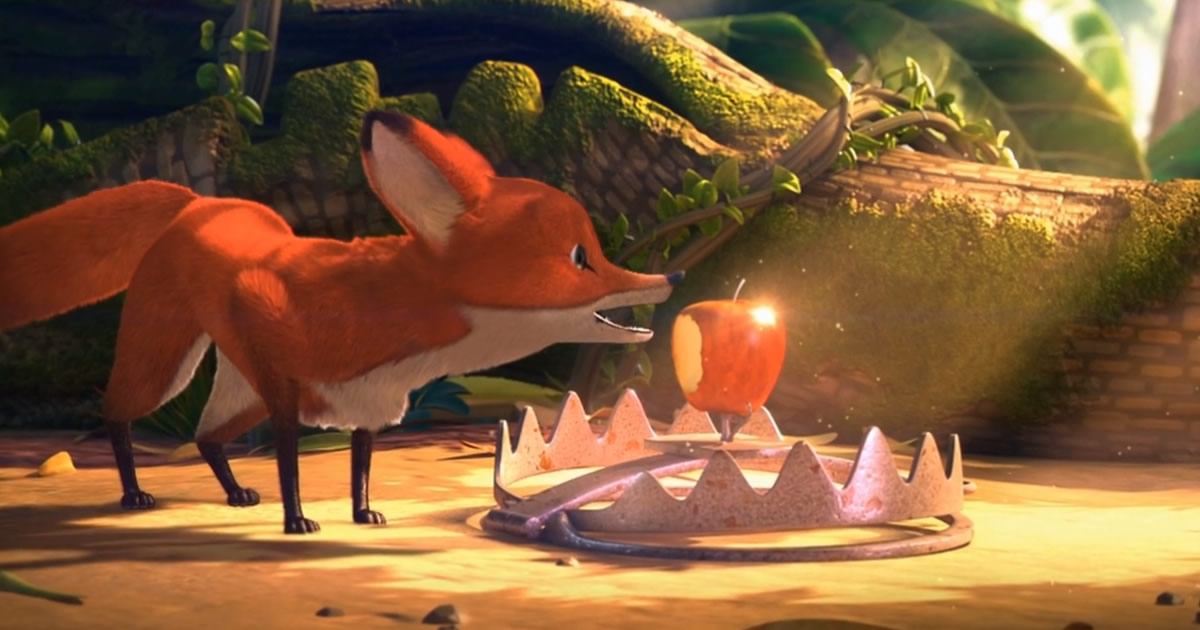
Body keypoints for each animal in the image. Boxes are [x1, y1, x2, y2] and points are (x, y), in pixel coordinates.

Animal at [0, 111, 682, 534]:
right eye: (581, 258)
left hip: (233, 387)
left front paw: (361, 515)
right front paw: (297, 521)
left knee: (207, 437)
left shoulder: (366, 403)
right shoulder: (284, 387)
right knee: (118, 414)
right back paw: (133, 494)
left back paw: (233, 494)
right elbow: (289, 464)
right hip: (167, 360)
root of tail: (201, 199)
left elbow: (359, 468)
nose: (671, 279)